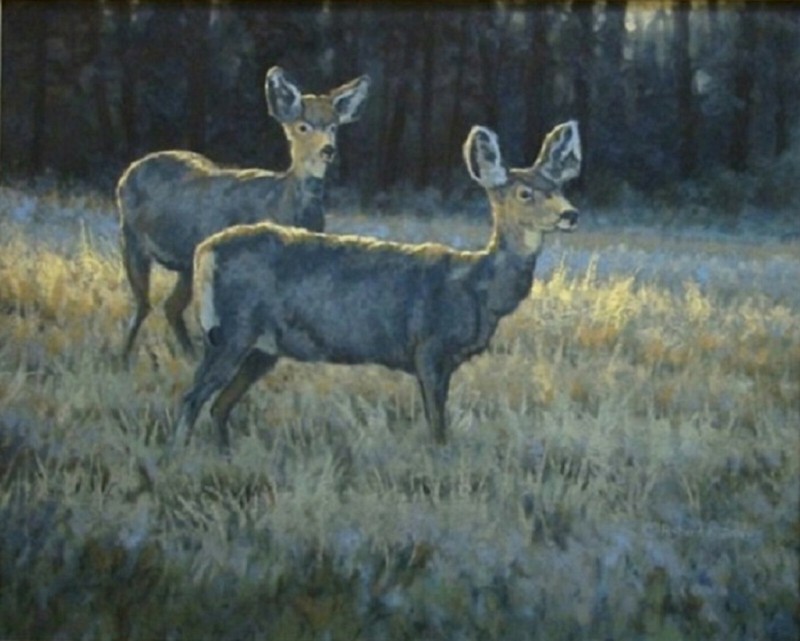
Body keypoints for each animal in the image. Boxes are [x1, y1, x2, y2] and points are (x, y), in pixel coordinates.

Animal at [116, 66, 370, 364]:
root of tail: (130, 170)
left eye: (333, 126)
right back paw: (123, 359)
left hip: (187, 263)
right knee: (143, 304)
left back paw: (187, 356)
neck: (281, 204)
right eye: (303, 126)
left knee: (171, 306)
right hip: (131, 239)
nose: (328, 150)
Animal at [173, 121, 581, 451]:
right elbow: (437, 427)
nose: (571, 214)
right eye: (524, 193)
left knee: (219, 405)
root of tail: (205, 250)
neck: (476, 287)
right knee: (191, 398)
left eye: (559, 186)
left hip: (261, 348)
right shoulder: (428, 347)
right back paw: (179, 457)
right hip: (233, 331)